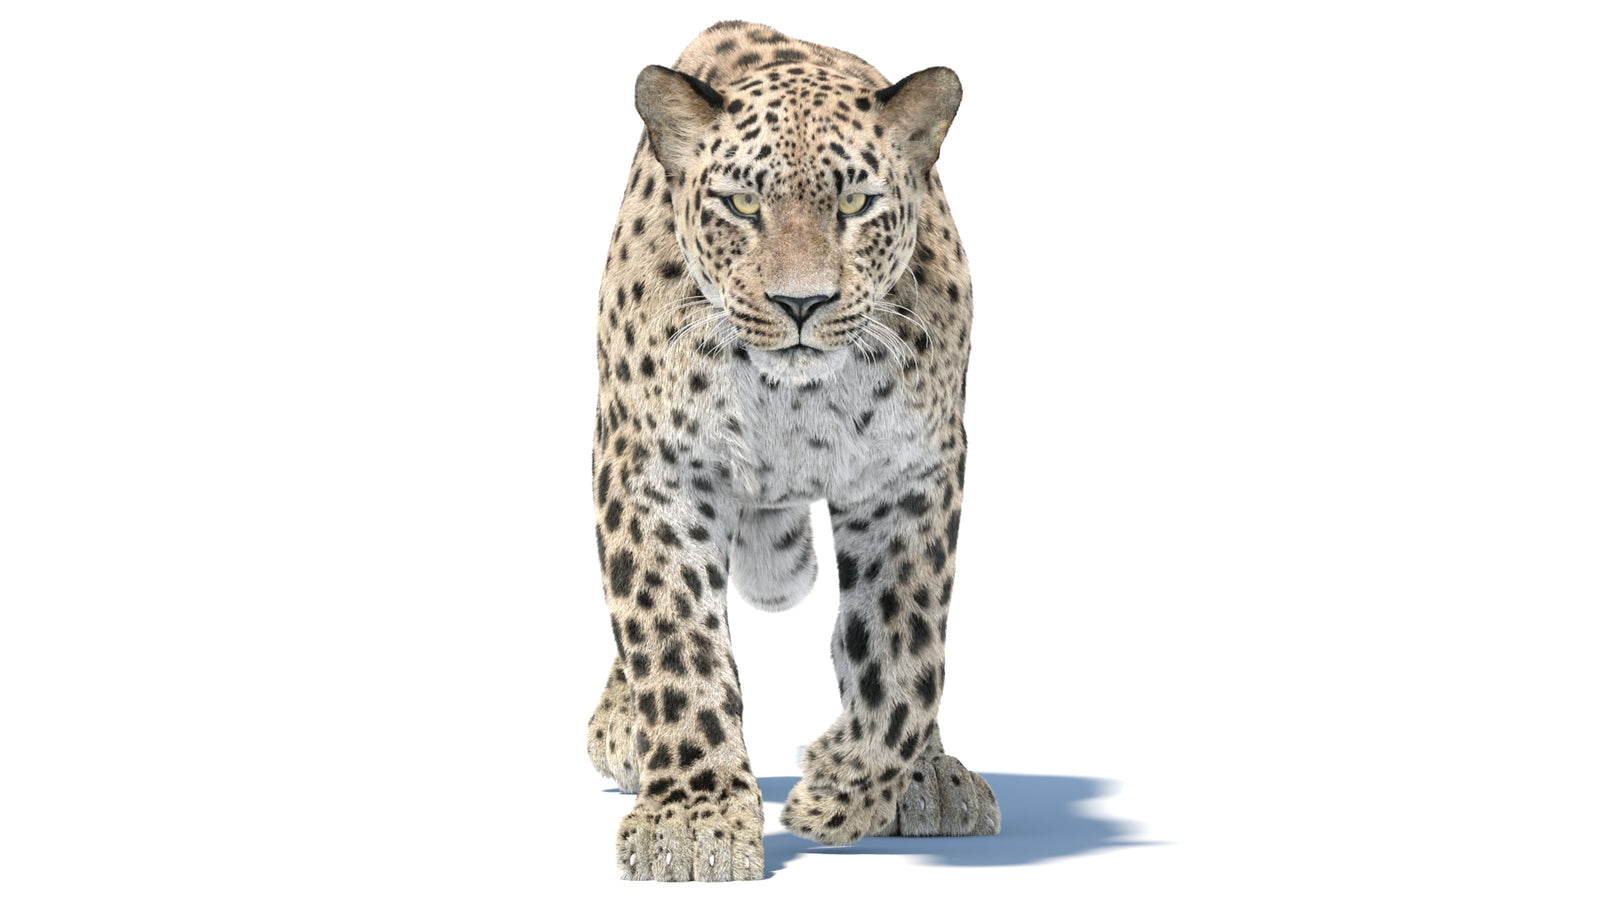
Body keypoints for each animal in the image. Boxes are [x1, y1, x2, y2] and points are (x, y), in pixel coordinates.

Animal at [585, 21, 996, 881]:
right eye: (742, 203)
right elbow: (673, 640)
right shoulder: (654, 471)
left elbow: (905, 655)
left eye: (855, 203)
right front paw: (693, 821)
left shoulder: (910, 478)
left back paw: (934, 775)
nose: (801, 303)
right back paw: (622, 728)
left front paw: (839, 791)